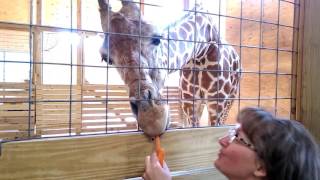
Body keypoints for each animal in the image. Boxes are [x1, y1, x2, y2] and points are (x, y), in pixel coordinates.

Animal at [98, 0, 240, 135]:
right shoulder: (189, 102)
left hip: (229, 100)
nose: (151, 119)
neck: (201, 51)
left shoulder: (217, 102)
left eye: (157, 39)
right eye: (106, 58)